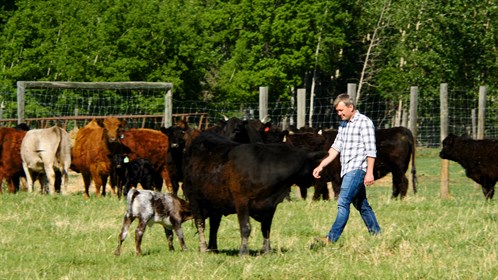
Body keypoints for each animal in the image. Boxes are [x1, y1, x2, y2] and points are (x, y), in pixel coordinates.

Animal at [183, 132, 326, 255]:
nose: (315, 179)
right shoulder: (242, 201)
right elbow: (246, 227)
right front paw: (243, 252)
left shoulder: (270, 205)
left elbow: (266, 228)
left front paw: (267, 251)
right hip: (194, 199)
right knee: (200, 223)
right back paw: (203, 248)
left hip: (216, 202)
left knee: (214, 225)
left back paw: (213, 248)